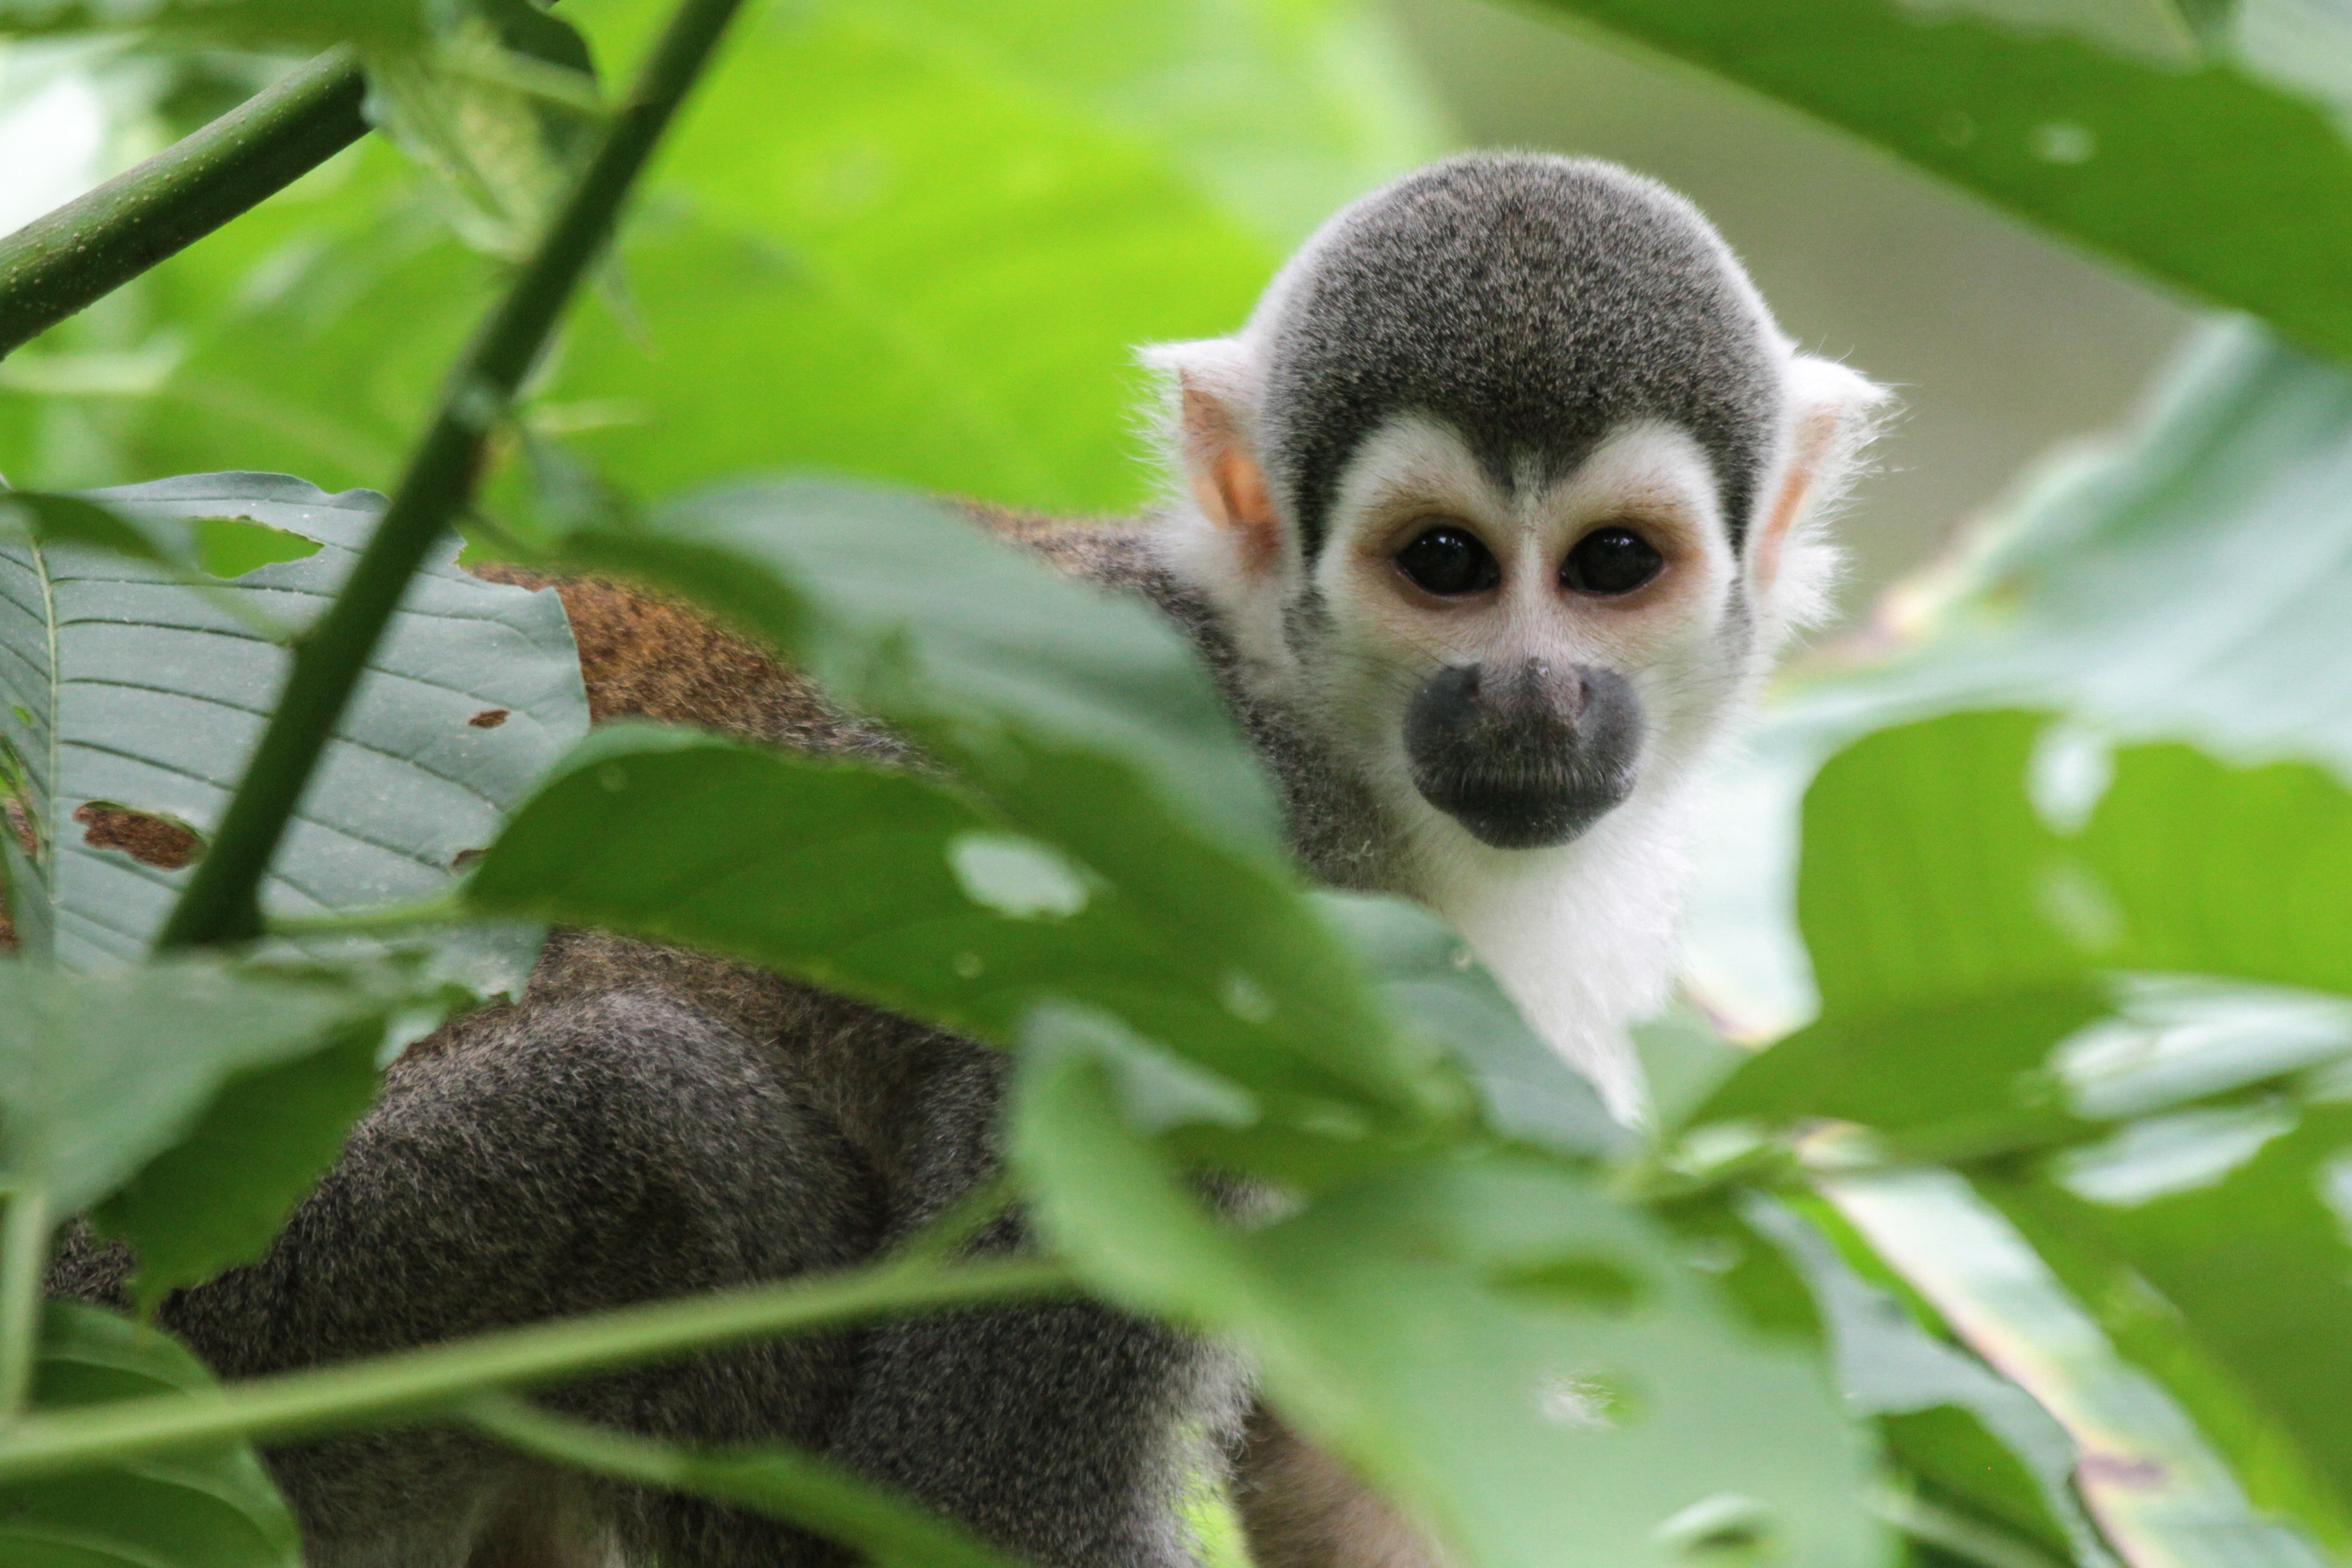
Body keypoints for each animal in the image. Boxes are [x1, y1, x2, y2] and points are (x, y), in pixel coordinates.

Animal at [47, 152, 1882, 1568]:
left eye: (1611, 566)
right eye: (1443, 564)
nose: (1528, 695)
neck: (1334, 763)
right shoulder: (1192, 932)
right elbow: (988, 1502)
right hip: (204, 1300)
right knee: (660, 1127)